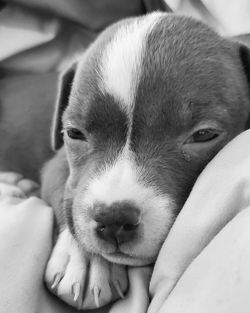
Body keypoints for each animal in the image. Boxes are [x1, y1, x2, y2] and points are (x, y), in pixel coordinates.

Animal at [41, 11, 250, 308]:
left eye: (203, 135)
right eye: (74, 133)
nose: (113, 218)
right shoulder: (55, 164)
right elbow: (66, 190)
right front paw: (86, 261)